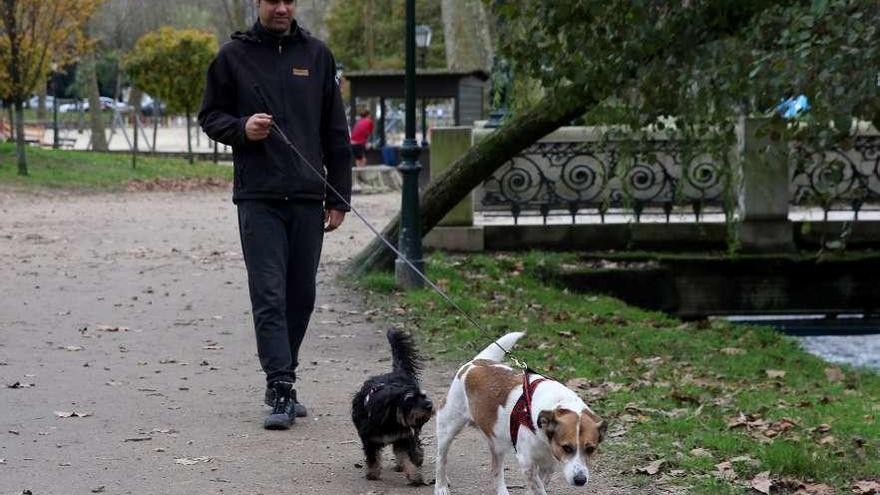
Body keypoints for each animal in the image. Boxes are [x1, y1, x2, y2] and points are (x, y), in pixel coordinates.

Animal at [350, 330, 434, 484]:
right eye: (409, 399)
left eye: (423, 395)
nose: (429, 406)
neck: (390, 420)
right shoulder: (369, 439)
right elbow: (373, 458)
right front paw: (373, 473)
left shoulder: (404, 437)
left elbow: (407, 457)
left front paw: (415, 475)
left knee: (415, 444)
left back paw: (416, 458)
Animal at [434, 334, 604, 495]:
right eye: (567, 447)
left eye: (591, 449)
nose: (580, 480)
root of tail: (475, 363)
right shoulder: (527, 463)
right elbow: (539, 488)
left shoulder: (548, 466)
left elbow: (537, 486)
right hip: (447, 428)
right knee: (441, 459)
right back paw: (441, 486)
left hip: (497, 442)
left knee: (496, 470)